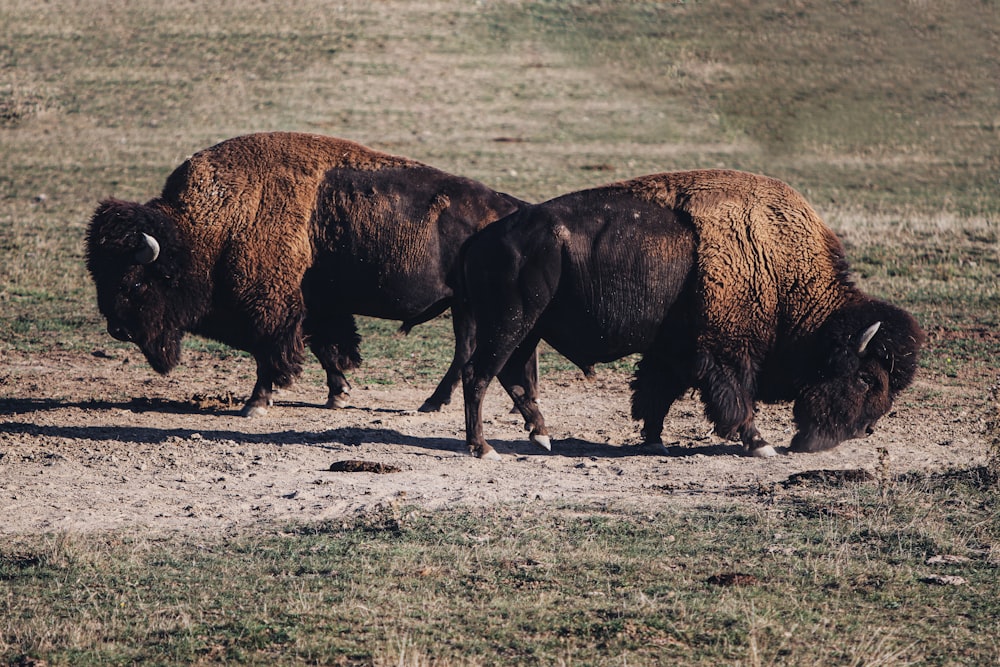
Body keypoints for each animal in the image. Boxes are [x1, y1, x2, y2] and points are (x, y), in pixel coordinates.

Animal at [86, 131, 524, 418]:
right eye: (99, 276)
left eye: (135, 281)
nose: (117, 330)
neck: (211, 225)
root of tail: (512, 208)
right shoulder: (316, 306)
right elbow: (326, 348)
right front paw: (338, 395)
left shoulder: (271, 309)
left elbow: (271, 354)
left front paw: (255, 404)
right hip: (464, 306)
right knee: (469, 350)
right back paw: (438, 402)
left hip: (468, 306)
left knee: (465, 351)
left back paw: (432, 403)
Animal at [458, 168, 924, 460]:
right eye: (866, 378)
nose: (864, 430)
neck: (778, 267)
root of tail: (482, 238)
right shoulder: (725, 351)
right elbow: (735, 399)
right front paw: (760, 444)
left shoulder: (675, 350)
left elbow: (655, 393)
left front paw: (654, 441)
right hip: (511, 322)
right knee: (479, 374)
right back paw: (483, 448)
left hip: (529, 329)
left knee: (512, 376)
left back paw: (541, 437)